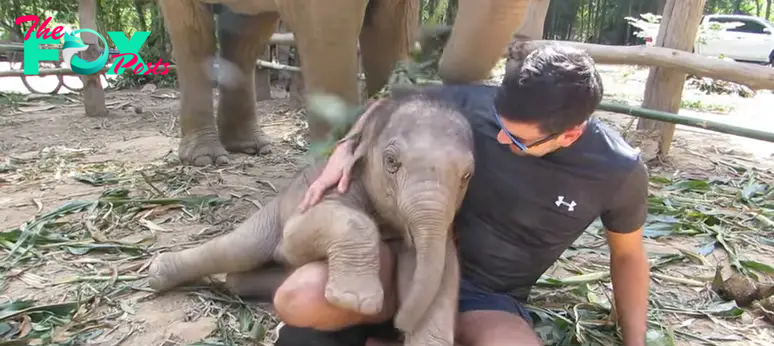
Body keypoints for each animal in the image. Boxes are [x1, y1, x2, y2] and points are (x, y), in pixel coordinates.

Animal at [145, 89, 472, 344]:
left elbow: (443, 271)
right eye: (391, 161)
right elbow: (297, 236)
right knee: (238, 249)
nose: (397, 324)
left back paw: (237, 284)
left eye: (467, 176)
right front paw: (355, 301)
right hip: (274, 212)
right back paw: (158, 273)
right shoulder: (331, 185)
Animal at [158, 0, 532, 166]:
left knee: (247, 33)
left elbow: (388, 27)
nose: (441, 31)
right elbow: (330, 27)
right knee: (192, 36)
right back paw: (206, 159)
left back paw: (250, 146)